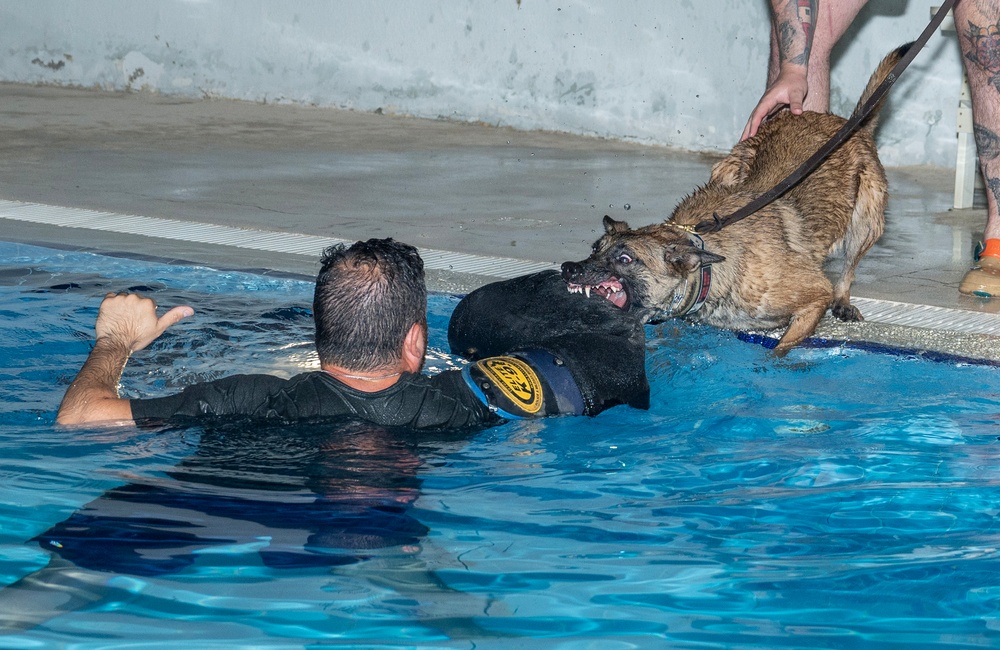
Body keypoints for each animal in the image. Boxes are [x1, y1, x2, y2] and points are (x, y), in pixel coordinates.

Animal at [560, 41, 912, 354]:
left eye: (625, 260)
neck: (706, 264)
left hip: (867, 219)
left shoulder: (814, 295)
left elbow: (780, 351)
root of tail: (851, 124)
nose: (568, 268)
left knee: (848, 268)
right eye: (595, 248)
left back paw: (843, 300)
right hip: (728, 165)